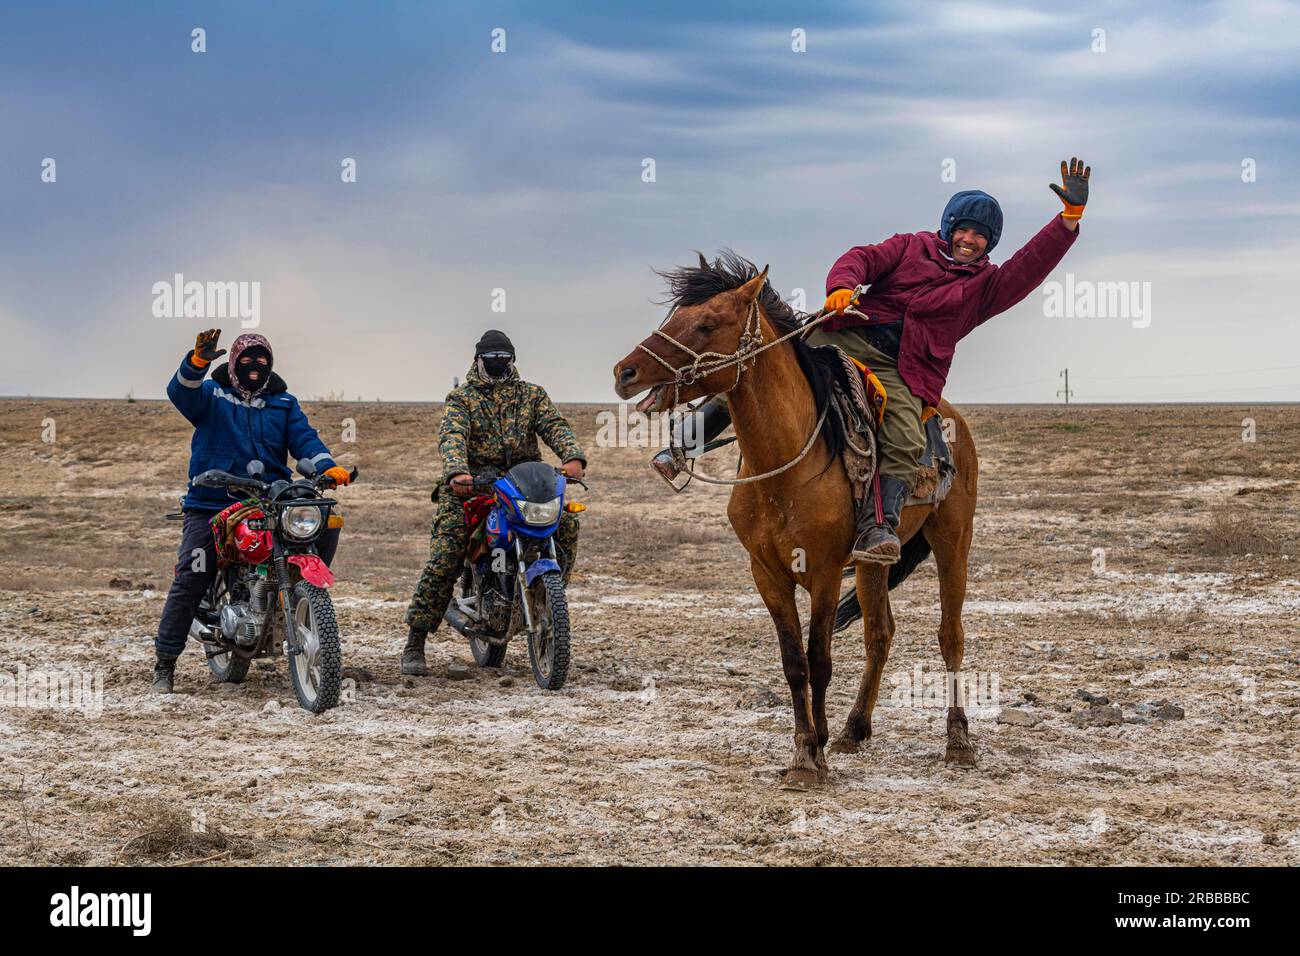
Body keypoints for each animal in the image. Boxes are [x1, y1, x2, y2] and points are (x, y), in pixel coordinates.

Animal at [613, 254, 977, 790]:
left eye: (706, 324)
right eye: (676, 316)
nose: (625, 371)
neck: (786, 466)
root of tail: (950, 418)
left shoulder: (823, 572)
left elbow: (820, 660)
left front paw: (814, 756)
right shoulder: (766, 573)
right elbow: (794, 663)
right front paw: (810, 746)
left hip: (952, 539)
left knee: (950, 634)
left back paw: (958, 741)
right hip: (872, 560)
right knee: (880, 633)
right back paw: (853, 729)